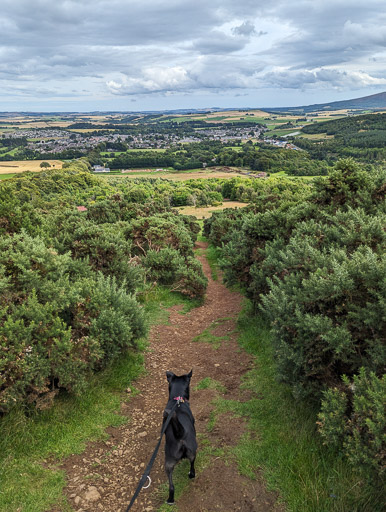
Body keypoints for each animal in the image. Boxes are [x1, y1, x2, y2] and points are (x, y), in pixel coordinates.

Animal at [164, 368, 198, 504]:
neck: (177, 399)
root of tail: (180, 434)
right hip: (192, 451)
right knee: (192, 466)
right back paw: (191, 475)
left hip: (168, 463)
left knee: (171, 486)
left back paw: (170, 500)